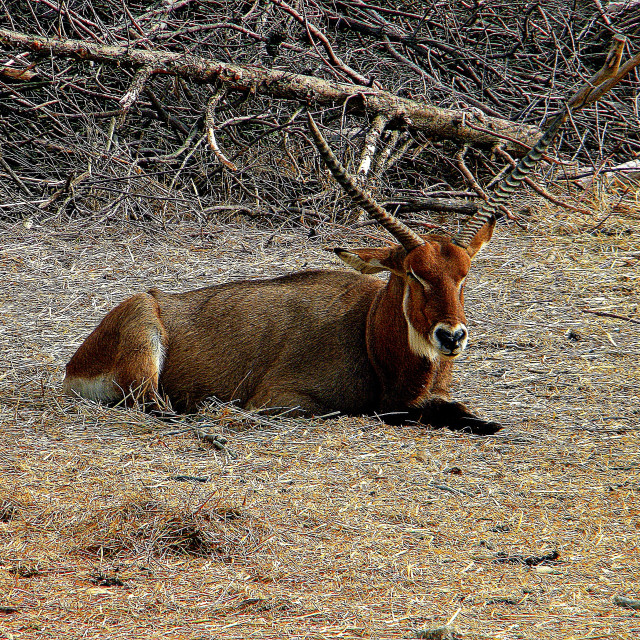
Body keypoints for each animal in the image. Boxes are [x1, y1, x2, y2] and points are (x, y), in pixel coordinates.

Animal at [61, 107, 576, 436]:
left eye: (464, 275)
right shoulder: (284, 400)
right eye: (414, 273)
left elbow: (465, 411)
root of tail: (74, 364)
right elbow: (371, 412)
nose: (451, 337)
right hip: (146, 345)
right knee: (154, 405)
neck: (368, 331)